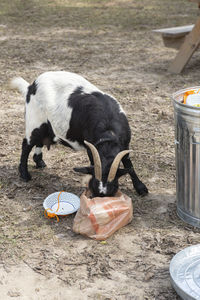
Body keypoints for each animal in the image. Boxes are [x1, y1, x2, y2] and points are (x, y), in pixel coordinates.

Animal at [11, 70, 148, 197]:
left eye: (112, 188)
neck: (108, 130)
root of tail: (31, 86)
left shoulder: (124, 145)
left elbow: (128, 163)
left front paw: (141, 188)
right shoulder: (90, 147)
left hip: (46, 126)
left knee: (39, 140)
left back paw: (39, 162)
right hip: (35, 121)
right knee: (27, 144)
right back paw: (25, 174)